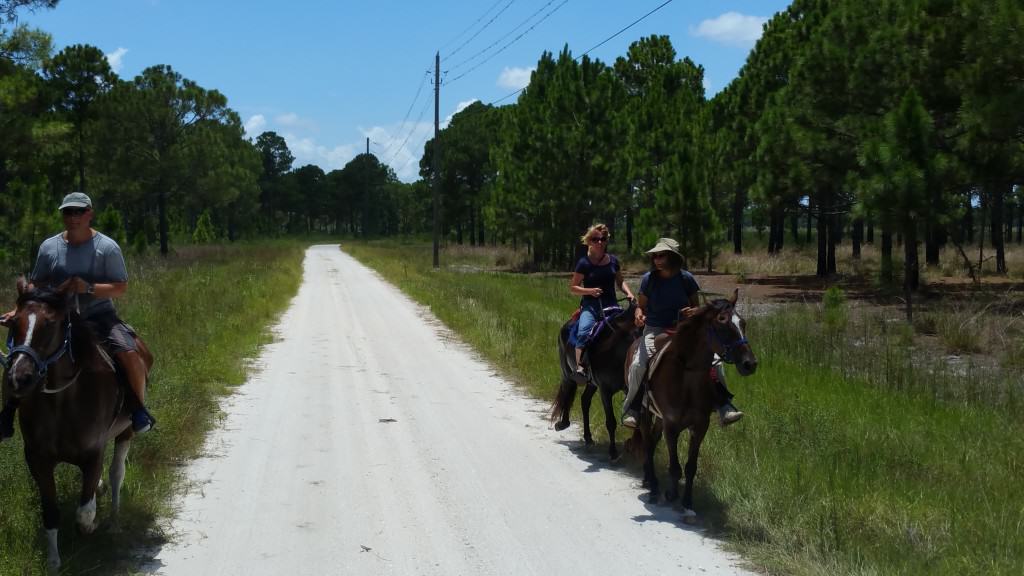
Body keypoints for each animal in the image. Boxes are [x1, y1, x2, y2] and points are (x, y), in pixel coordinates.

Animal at [0, 278, 151, 569]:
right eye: (14, 323)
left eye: (51, 324)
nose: (18, 378)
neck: (62, 402)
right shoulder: (38, 459)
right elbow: (51, 512)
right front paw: (53, 562)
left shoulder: (93, 453)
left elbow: (84, 513)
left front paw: (92, 525)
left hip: (126, 431)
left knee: (117, 473)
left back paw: (113, 521)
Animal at [548, 297, 634, 459]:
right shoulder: (605, 390)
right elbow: (611, 421)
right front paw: (613, 452)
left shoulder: (628, 389)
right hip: (568, 374)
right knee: (568, 393)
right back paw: (562, 424)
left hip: (592, 383)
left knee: (584, 400)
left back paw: (588, 438)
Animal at [626, 289, 757, 518]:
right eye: (722, 322)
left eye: (743, 323)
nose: (750, 364)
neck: (686, 376)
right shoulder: (671, 425)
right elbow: (674, 466)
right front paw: (671, 494)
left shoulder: (700, 425)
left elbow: (690, 467)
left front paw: (687, 503)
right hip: (645, 413)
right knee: (648, 444)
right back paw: (653, 486)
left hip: (658, 418)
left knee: (652, 441)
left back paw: (649, 480)